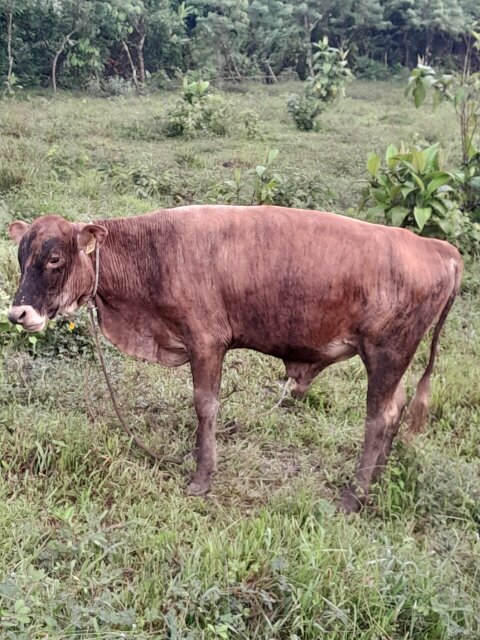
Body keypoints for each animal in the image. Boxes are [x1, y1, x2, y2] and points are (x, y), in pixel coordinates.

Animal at [7, 205, 463, 512]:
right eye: (20, 256)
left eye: (54, 258)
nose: (18, 314)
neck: (154, 252)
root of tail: (435, 246)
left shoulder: (206, 342)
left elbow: (205, 405)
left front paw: (202, 477)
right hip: (394, 360)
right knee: (396, 408)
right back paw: (378, 479)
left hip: (386, 353)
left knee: (379, 417)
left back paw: (355, 494)